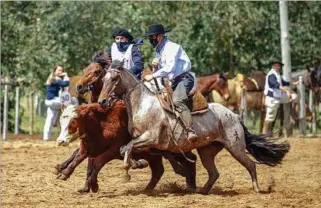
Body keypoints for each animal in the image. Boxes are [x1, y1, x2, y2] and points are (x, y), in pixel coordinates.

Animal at [54, 103, 195, 193]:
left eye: (73, 122)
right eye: (61, 121)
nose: (60, 141)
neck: (102, 125)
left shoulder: (114, 150)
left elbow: (97, 164)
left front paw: (93, 184)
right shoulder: (87, 148)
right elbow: (78, 159)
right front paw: (64, 172)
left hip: (175, 149)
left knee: (190, 159)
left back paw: (191, 185)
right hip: (153, 155)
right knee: (158, 170)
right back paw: (148, 189)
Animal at [98, 60, 290, 195]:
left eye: (114, 78)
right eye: (103, 79)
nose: (102, 101)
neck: (144, 104)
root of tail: (234, 116)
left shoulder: (151, 138)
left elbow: (128, 148)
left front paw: (127, 173)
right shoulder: (144, 141)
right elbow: (125, 149)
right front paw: (136, 164)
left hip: (235, 147)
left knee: (250, 165)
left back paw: (256, 189)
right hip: (207, 151)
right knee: (214, 173)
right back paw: (202, 191)